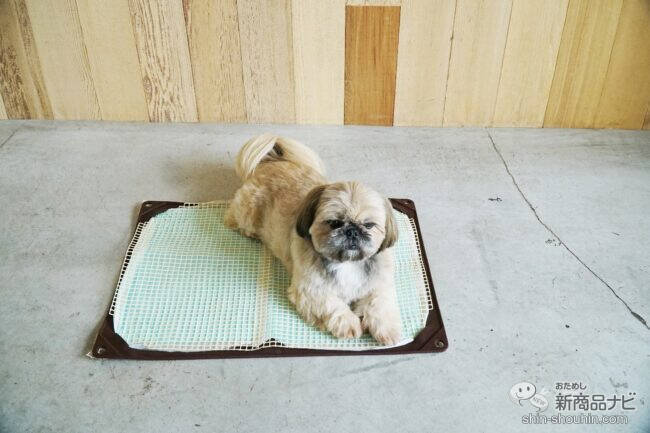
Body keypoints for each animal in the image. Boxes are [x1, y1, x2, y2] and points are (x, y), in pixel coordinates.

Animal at [225, 134, 402, 345]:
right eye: (334, 223)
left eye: (369, 225)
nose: (352, 231)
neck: (347, 263)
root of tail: (271, 161)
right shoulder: (311, 290)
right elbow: (333, 305)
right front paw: (348, 323)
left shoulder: (379, 284)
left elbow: (379, 304)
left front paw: (387, 329)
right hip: (247, 215)